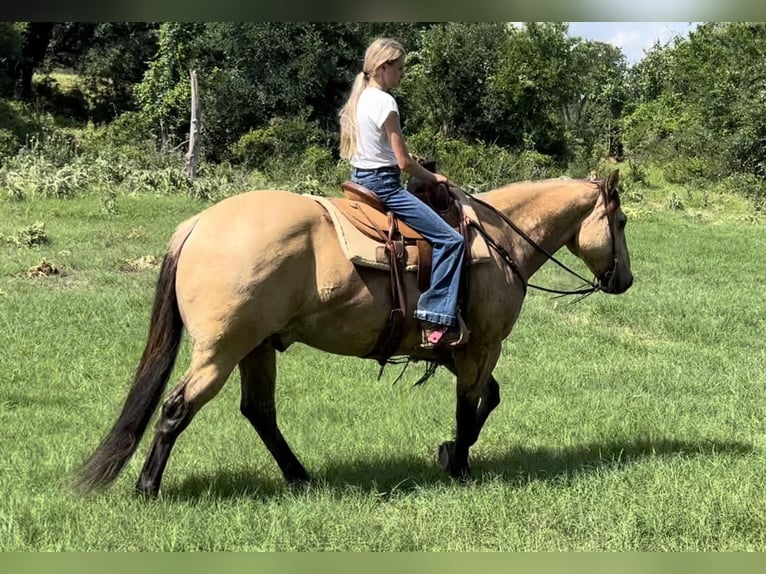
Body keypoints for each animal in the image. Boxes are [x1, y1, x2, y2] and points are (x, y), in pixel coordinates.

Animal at [78, 169, 632, 498]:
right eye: (622, 220)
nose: (624, 280)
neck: (497, 241)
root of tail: (196, 225)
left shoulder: (459, 348)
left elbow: (487, 399)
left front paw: (450, 453)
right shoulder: (482, 346)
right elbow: (470, 405)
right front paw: (457, 462)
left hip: (256, 348)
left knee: (259, 413)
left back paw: (300, 477)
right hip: (220, 351)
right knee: (176, 409)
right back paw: (147, 488)